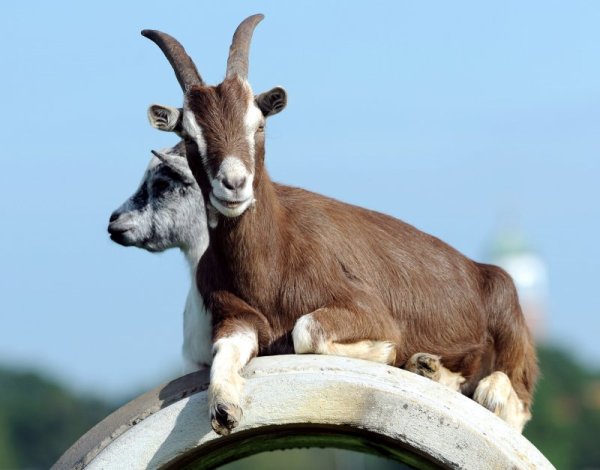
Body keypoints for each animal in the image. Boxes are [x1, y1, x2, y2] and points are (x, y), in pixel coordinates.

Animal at [143, 14, 536, 436]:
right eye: (189, 135)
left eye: (259, 124)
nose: (233, 184)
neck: (272, 261)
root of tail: (481, 270)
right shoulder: (235, 317)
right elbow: (224, 352)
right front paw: (224, 405)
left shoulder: (368, 309)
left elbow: (306, 330)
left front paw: (386, 351)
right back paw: (429, 368)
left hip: (508, 315)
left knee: (514, 401)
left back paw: (471, 383)